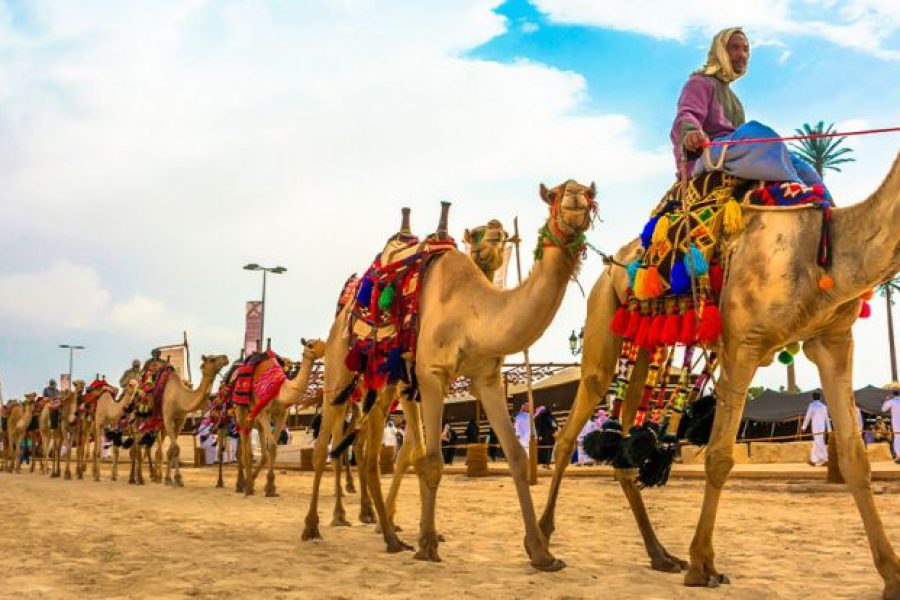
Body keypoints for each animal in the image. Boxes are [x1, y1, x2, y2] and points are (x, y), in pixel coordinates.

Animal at [162, 354, 232, 486]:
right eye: (212, 359)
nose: (225, 357)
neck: (180, 398)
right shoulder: (167, 417)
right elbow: (175, 448)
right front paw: (178, 478)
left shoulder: (180, 420)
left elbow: (172, 449)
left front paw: (169, 479)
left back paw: (156, 476)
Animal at [306, 183, 596, 572]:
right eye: (555, 194)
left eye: (588, 191)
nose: (576, 197)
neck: (472, 313)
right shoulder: (431, 374)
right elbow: (430, 460)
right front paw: (427, 544)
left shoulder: (486, 377)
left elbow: (516, 457)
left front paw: (541, 553)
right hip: (340, 372)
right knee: (326, 446)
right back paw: (315, 526)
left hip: (384, 386)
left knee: (368, 456)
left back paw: (390, 537)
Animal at [536, 151, 900, 596]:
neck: (822, 253)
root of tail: (611, 267)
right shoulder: (743, 344)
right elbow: (719, 458)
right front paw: (702, 565)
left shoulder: (832, 339)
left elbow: (854, 457)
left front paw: (892, 574)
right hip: (602, 321)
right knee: (573, 425)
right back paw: (541, 547)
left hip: (644, 346)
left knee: (623, 439)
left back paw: (661, 555)